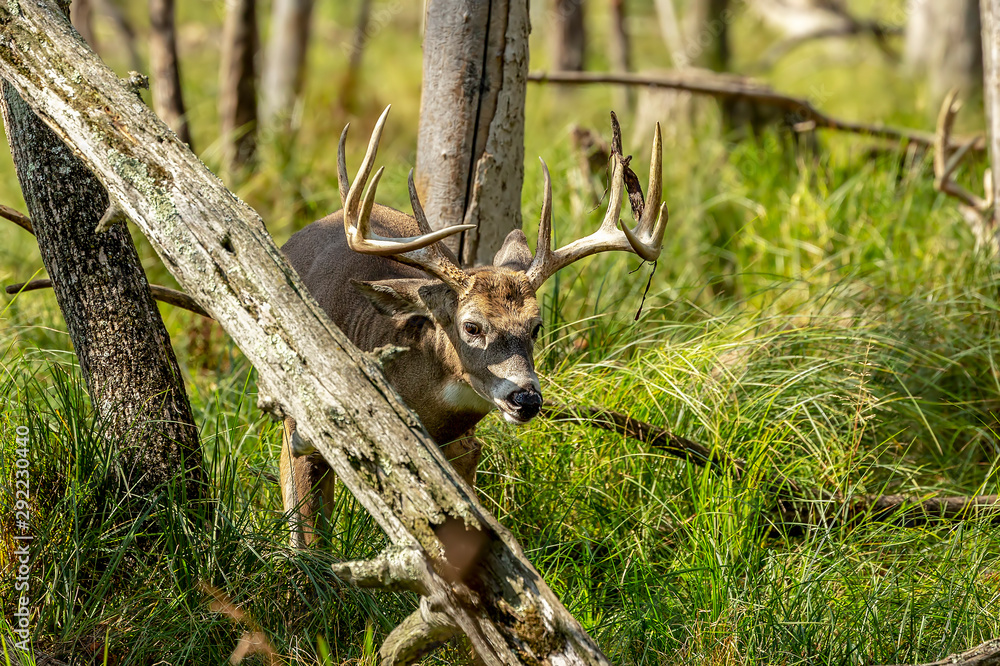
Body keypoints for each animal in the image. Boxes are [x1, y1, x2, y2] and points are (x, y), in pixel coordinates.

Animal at [278, 107, 667, 546]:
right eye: (471, 327)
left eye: (536, 326)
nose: (526, 399)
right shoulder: (301, 425)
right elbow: (308, 535)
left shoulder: (463, 449)